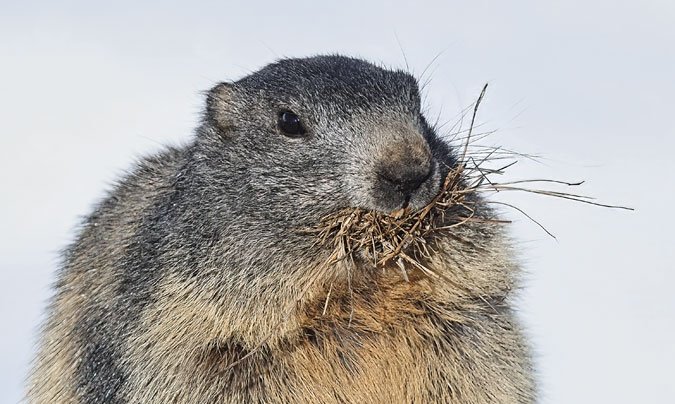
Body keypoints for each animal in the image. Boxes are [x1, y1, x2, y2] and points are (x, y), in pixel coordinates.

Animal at [27, 55, 536, 403]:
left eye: (418, 107)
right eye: (289, 122)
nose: (409, 170)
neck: (354, 298)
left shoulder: (469, 330)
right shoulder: (183, 340)